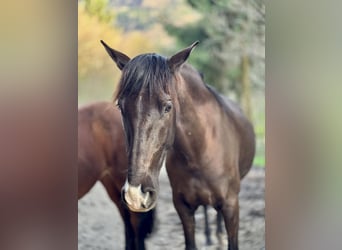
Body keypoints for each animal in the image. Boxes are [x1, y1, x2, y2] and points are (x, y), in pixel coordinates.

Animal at [100, 40, 255, 249]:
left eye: (168, 107)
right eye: (120, 106)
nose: (136, 195)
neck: (200, 151)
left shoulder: (231, 205)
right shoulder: (183, 208)